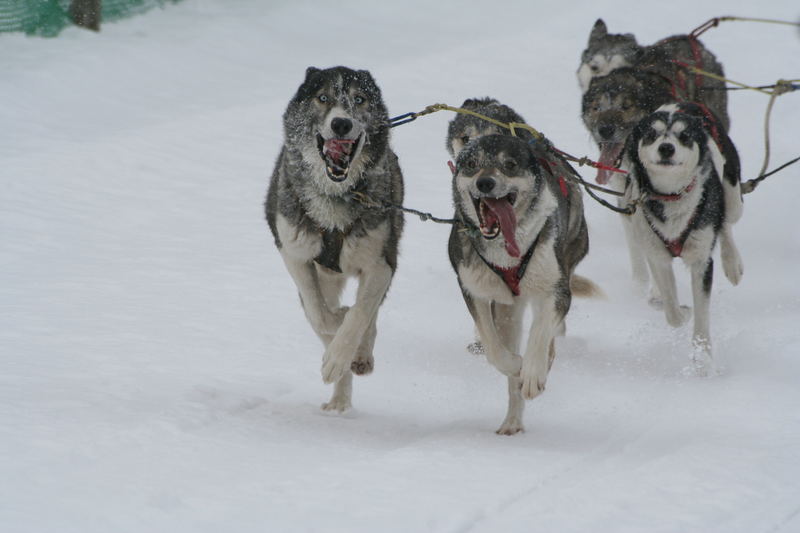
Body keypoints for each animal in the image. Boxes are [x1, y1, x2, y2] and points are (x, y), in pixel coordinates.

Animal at [266, 65, 404, 412]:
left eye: (360, 98)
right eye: (323, 98)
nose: (341, 123)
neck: (334, 196)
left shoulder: (381, 264)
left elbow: (359, 315)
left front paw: (342, 353)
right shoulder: (295, 254)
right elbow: (319, 314)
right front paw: (335, 330)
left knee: (369, 315)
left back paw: (358, 356)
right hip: (325, 275)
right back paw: (339, 400)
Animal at [446, 135, 596, 434]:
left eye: (510, 164)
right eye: (471, 164)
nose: (485, 183)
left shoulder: (556, 291)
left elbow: (540, 333)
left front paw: (533, 374)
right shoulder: (474, 291)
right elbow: (494, 348)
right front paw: (516, 365)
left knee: (549, 335)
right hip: (509, 311)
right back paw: (512, 421)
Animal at [620, 102, 744, 372]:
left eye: (684, 135)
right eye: (652, 134)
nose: (666, 147)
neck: (671, 196)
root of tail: (684, 103)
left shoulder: (701, 262)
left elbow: (702, 317)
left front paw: (703, 360)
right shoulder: (658, 256)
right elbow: (673, 313)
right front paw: (683, 312)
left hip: (731, 196)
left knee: (726, 222)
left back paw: (733, 263)